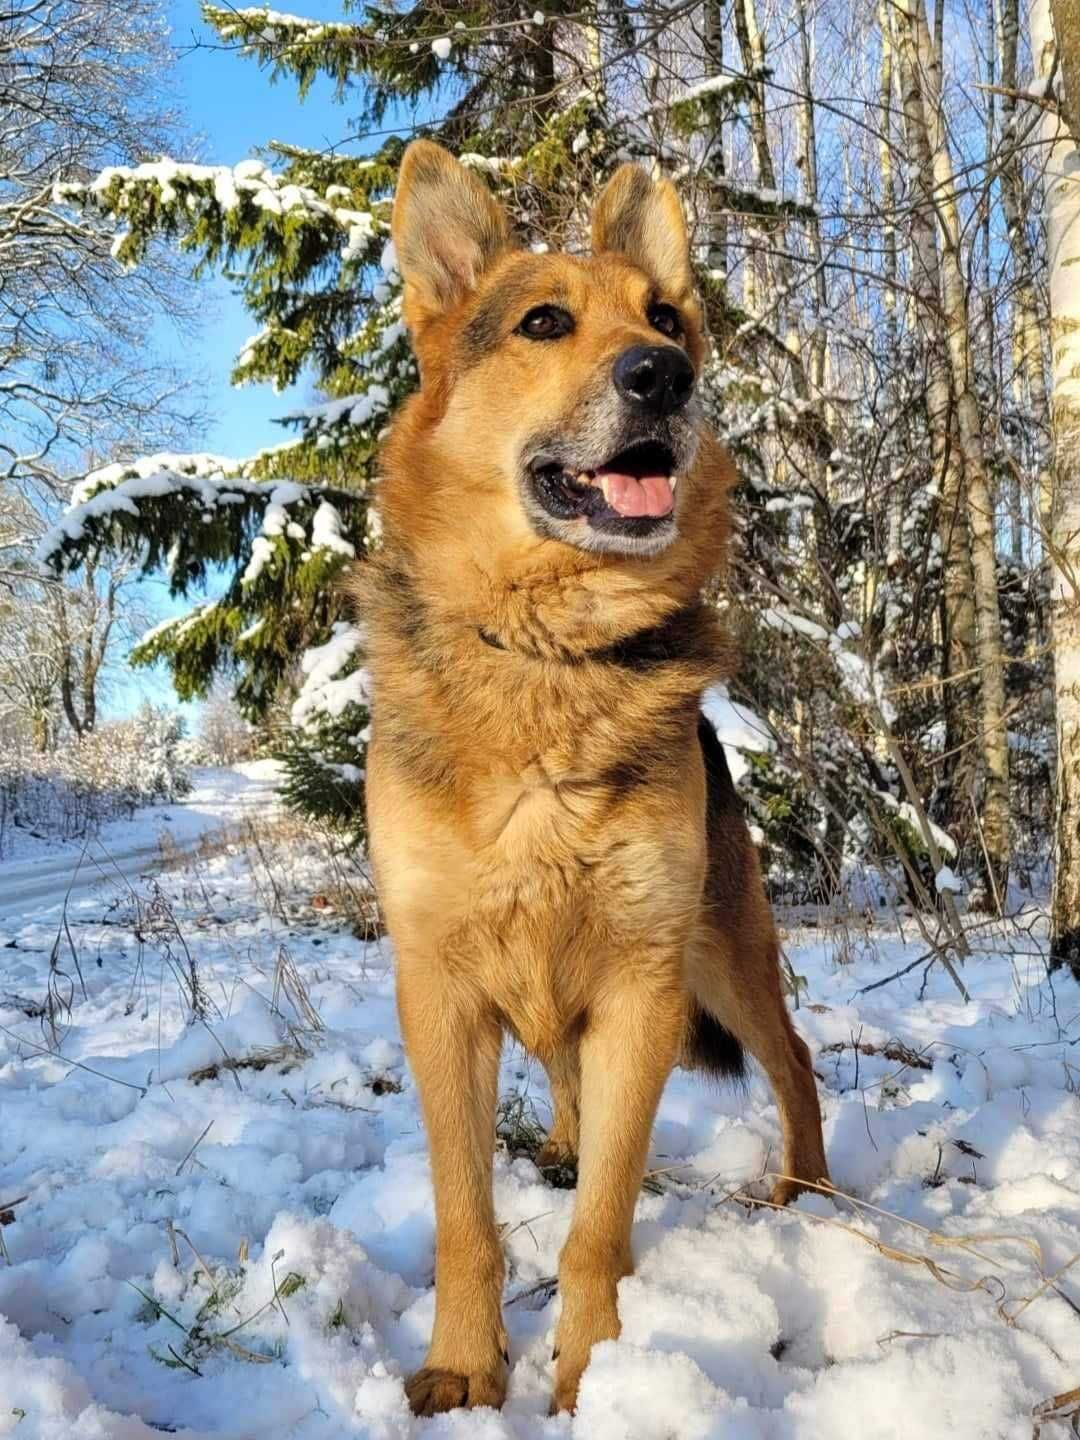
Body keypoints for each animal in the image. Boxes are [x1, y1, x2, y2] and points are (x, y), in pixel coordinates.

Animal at [360, 140, 835, 1422]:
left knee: (795, 1064)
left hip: (723, 955)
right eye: (544, 322)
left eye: (666, 318)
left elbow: (599, 1229)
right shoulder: (442, 994)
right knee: (569, 1083)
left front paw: (588, 1375)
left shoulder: (643, 987)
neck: (549, 657)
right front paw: (468, 1365)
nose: (666, 377)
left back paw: (812, 1199)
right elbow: (465, 1216)